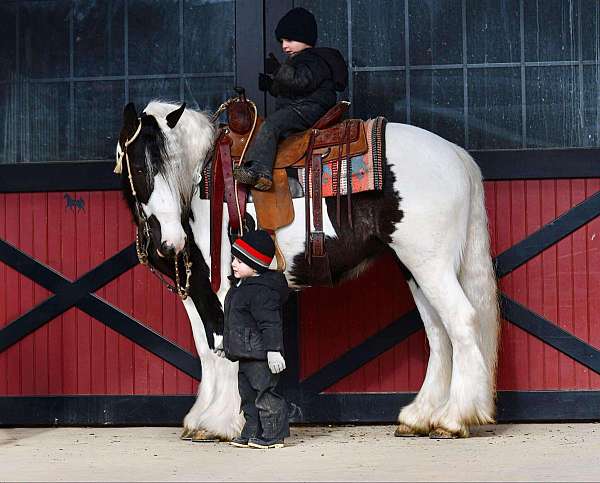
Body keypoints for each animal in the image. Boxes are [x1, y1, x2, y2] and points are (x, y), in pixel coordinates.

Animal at [115, 100, 500, 440]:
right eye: (139, 168)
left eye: (169, 165)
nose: (170, 242)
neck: (202, 188)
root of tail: (455, 154)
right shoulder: (194, 289)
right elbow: (206, 349)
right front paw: (201, 419)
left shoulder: (222, 287)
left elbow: (226, 348)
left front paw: (221, 422)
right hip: (414, 267)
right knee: (438, 332)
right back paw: (420, 417)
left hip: (430, 265)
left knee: (461, 321)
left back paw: (453, 418)